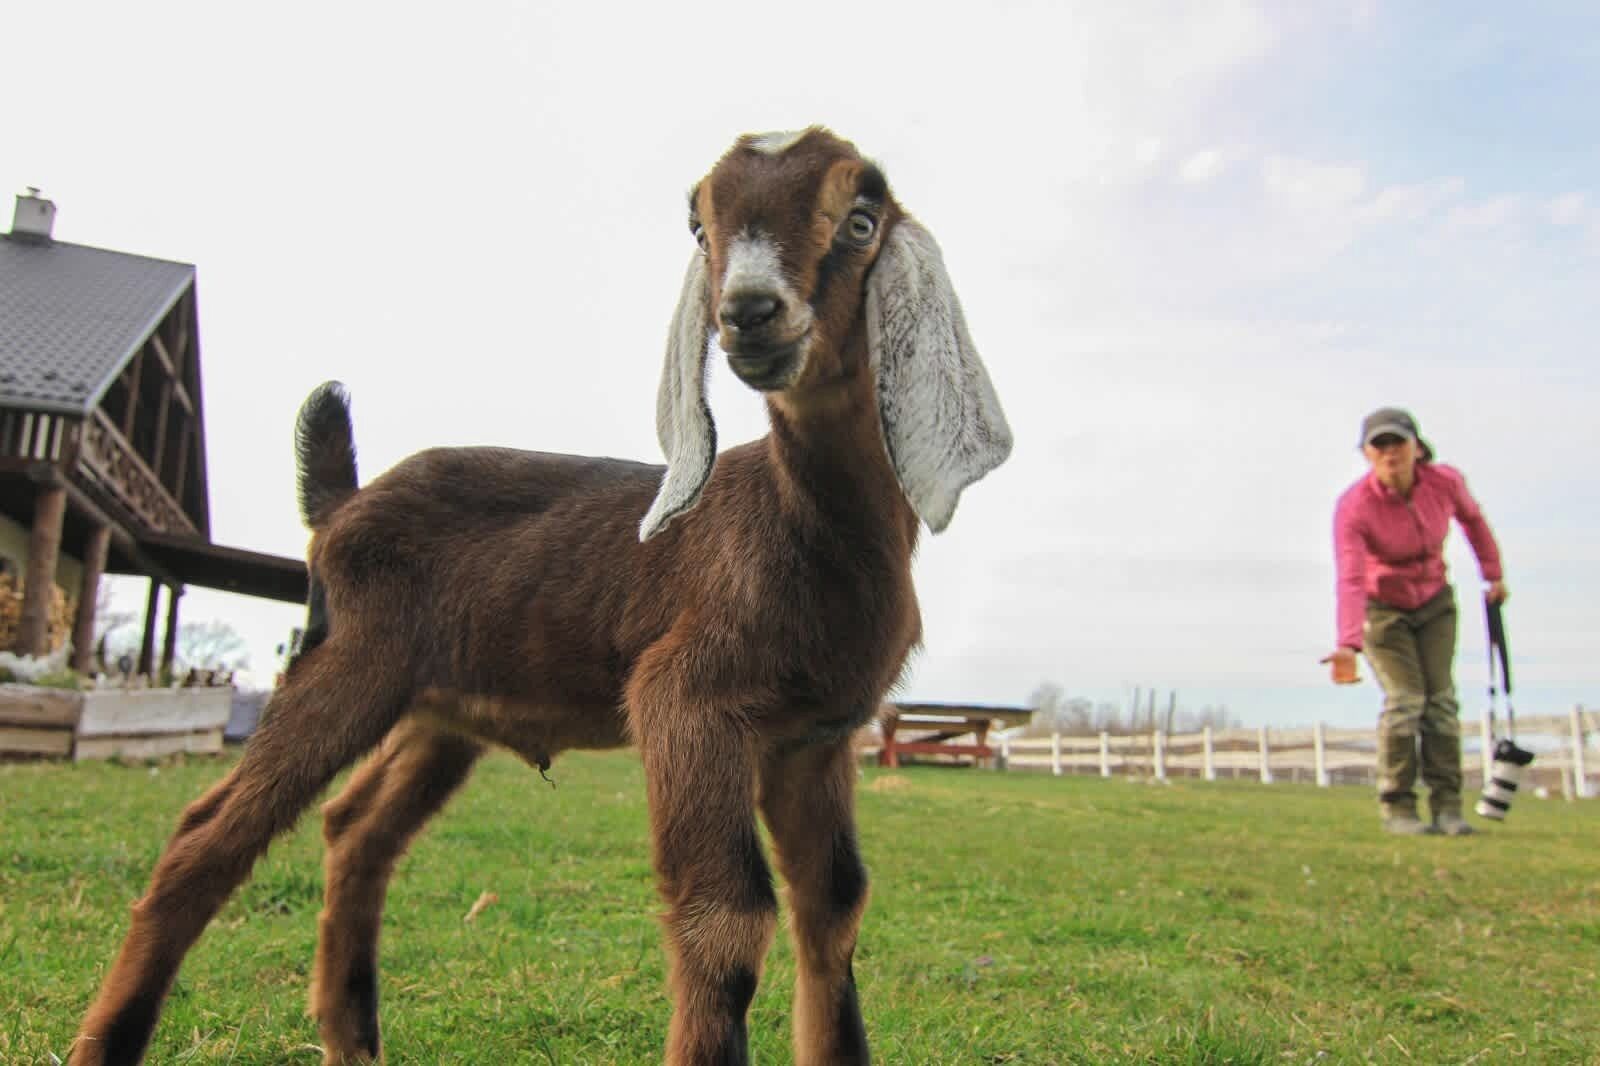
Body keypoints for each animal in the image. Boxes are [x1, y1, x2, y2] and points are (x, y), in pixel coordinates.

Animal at [68, 126, 1012, 1066]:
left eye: (861, 219)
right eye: (700, 227)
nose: (748, 310)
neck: (807, 524)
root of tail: (340, 505)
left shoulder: (814, 738)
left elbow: (836, 905)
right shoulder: (685, 702)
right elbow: (727, 917)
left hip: (439, 713)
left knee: (355, 828)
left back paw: (354, 1038)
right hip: (347, 662)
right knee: (207, 837)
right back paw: (111, 1040)